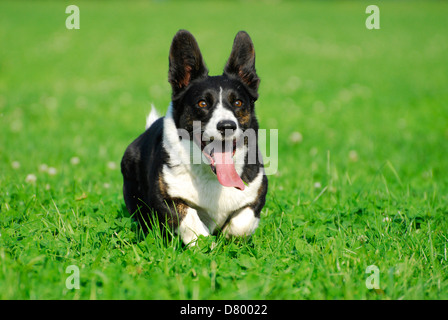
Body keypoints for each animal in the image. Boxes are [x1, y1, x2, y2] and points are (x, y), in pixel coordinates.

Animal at [121, 29, 268, 245]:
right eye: (202, 103)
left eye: (238, 102)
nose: (227, 126)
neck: (212, 176)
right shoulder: (166, 198)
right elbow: (191, 220)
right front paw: (209, 245)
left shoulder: (256, 193)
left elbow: (242, 222)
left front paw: (228, 236)